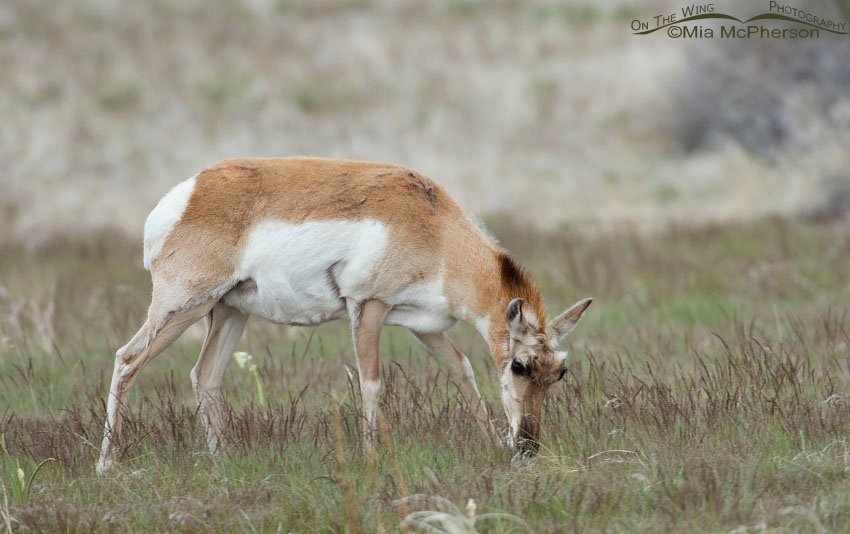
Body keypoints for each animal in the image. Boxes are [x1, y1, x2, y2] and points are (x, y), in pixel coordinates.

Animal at [96, 157, 591, 473]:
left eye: (559, 372)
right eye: (519, 365)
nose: (527, 446)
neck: (435, 227)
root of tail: (185, 194)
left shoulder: (424, 328)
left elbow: (463, 369)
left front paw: (491, 442)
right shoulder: (368, 309)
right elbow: (372, 382)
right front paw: (371, 458)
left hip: (229, 312)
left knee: (206, 375)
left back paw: (224, 461)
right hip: (182, 308)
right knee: (127, 359)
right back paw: (107, 463)